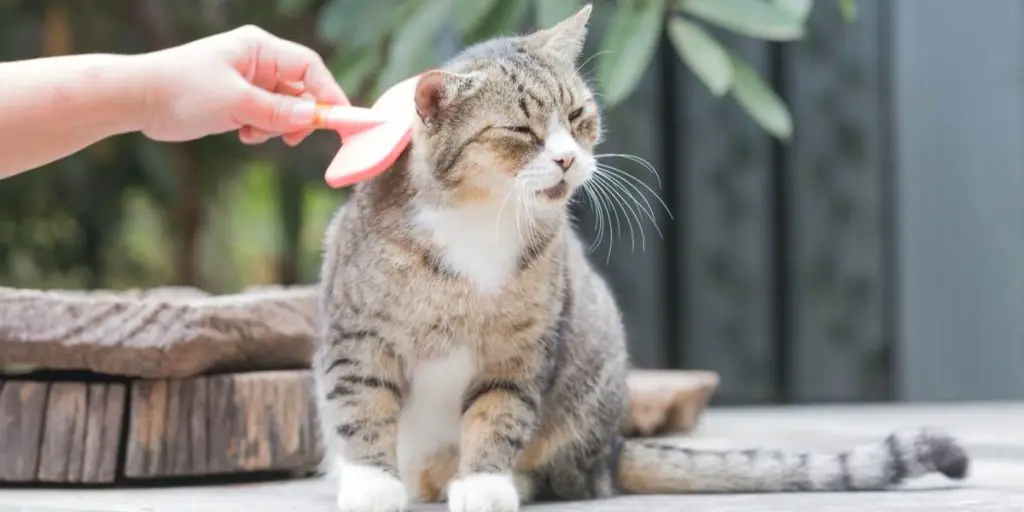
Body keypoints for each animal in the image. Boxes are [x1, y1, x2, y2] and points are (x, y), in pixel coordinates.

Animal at [315, 4, 970, 512]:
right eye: (522, 131)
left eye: (577, 116)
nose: (566, 158)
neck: (481, 219)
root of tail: (613, 448)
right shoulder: (357, 334)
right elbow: (360, 404)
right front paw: (372, 485)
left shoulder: (520, 349)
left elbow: (499, 413)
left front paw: (484, 484)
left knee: (572, 476)